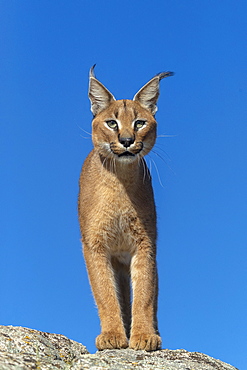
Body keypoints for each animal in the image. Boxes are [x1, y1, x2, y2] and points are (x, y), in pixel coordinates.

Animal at [78, 65, 173, 352]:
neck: (120, 180)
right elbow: (105, 293)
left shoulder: (145, 244)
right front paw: (112, 335)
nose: (128, 140)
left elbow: (144, 292)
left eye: (139, 123)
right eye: (112, 123)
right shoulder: (95, 245)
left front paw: (143, 335)